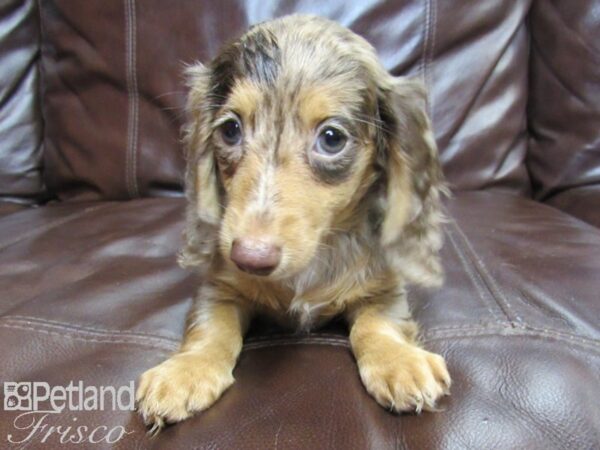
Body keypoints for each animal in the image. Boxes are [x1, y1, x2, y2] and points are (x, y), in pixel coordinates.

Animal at [136, 14, 450, 428]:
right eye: (230, 130)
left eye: (331, 138)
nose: (250, 257)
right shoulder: (220, 286)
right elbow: (211, 326)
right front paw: (185, 370)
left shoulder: (381, 289)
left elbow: (379, 324)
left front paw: (400, 362)